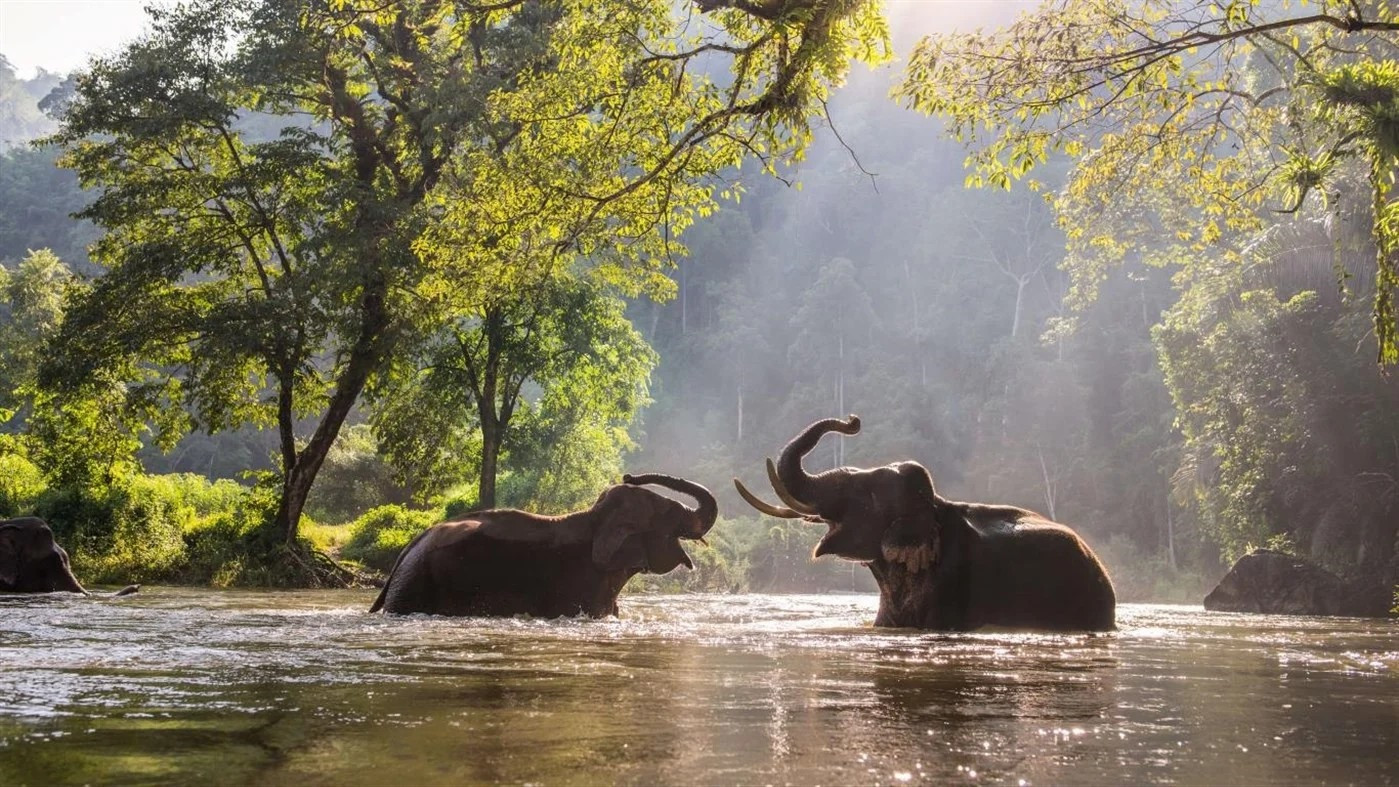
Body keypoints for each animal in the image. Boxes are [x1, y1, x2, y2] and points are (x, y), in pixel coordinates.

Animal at [369, 472, 716, 617]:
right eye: (669, 513)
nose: (629, 475)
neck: (594, 518)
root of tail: (408, 549)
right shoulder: (578, 584)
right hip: (416, 586)